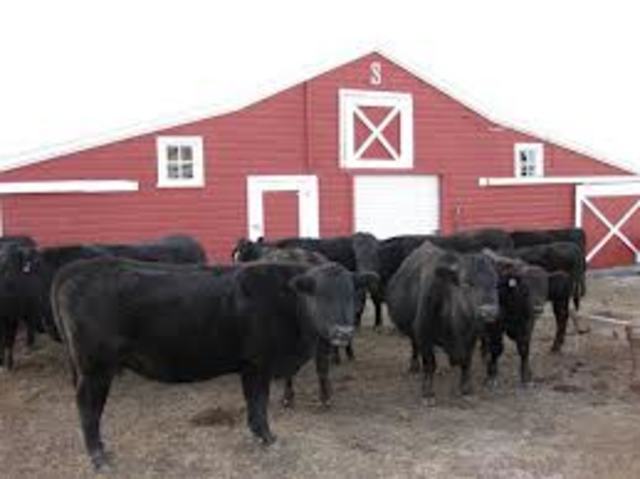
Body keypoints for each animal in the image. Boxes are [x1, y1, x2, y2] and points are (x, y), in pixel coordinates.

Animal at [52, 257, 374, 471]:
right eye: (320, 295)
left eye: (351, 294)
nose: (343, 331)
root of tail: (79, 267)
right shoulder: (258, 363)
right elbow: (259, 402)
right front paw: (268, 437)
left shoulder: (250, 366)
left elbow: (253, 403)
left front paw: (258, 435)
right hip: (95, 368)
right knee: (88, 408)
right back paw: (98, 457)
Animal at [385, 241, 500, 404]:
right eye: (466, 283)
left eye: (496, 283)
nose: (489, 311)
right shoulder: (424, 334)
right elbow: (430, 364)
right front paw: (427, 393)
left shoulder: (471, 337)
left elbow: (466, 362)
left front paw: (466, 390)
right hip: (413, 333)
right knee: (414, 347)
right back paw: (414, 367)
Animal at [480, 252, 549, 386]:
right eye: (525, 289)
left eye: (545, 288)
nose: (538, 309)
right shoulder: (495, 326)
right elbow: (497, 348)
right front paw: (492, 375)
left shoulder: (527, 324)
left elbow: (523, 348)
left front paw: (526, 375)